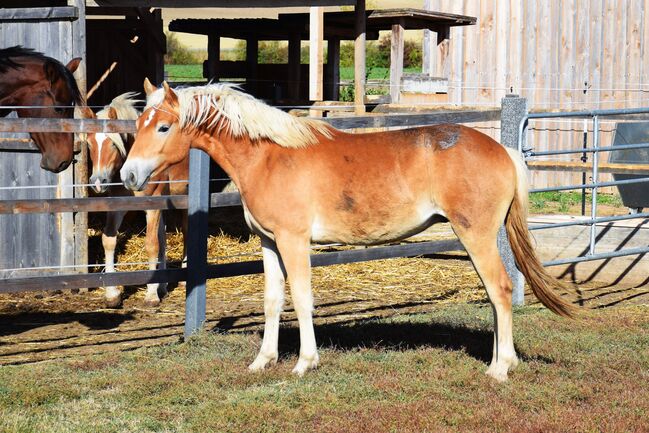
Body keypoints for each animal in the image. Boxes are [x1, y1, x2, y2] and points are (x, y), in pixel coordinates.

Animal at [79, 91, 189, 308]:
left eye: (113, 144)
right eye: (89, 144)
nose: (98, 182)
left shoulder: (152, 205)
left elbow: (151, 245)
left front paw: (151, 295)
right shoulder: (119, 206)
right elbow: (108, 241)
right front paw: (112, 294)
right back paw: (164, 285)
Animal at [119, 80, 576, 382]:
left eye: (163, 127)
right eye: (139, 124)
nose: (128, 176)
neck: (270, 155)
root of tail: (503, 150)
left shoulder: (294, 241)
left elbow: (302, 299)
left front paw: (305, 362)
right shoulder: (269, 242)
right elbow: (272, 301)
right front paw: (263, 360)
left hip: (476, 236)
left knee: (499, 290)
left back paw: (500, 368)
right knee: (494, 294)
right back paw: (501, 360)